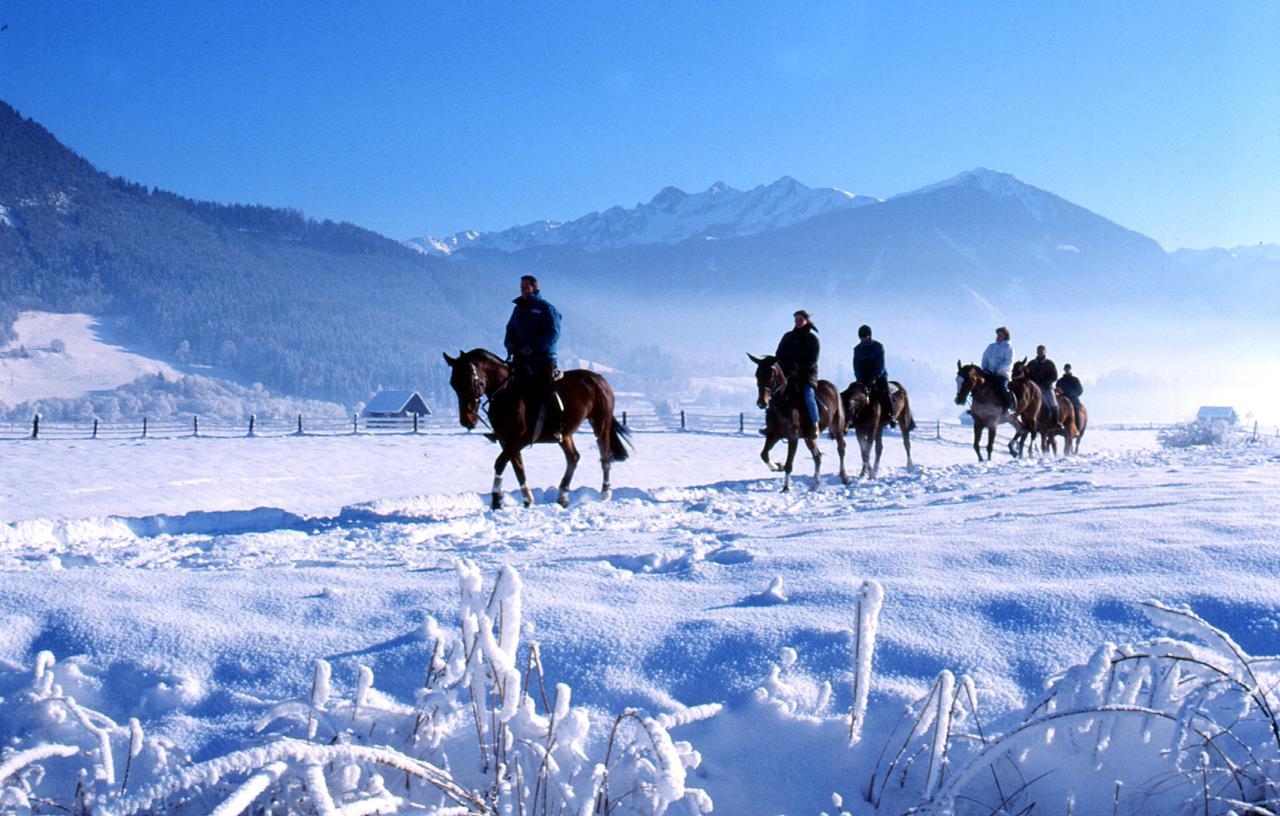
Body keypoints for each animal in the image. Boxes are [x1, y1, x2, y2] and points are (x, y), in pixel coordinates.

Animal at [445, 347, 634, 509]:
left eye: (471, 382)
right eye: (453, 384)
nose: (467, 420)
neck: (507, 393)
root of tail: (599, 379)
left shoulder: (520, 439)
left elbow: (500, 463)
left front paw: (496, 500)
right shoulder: (507, 441)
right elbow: (518, 468)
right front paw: (527, 499)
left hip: (600, 423)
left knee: (605, 455)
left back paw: (605, 493)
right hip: (565, 434)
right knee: (573, 458)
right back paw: (562, 496)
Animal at [747, 353, 849, 491]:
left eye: (771, 374)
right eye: (757, 374)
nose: (762, 402)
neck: (782, 404)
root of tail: (832, 387)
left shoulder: (793, 437)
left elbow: (789, 464)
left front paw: (785, 488)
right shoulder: (774, 435)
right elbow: (764, 454)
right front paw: (777, 466)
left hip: (837, 426)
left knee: (841, 448)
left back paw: (844, 477)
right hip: (809, 437)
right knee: (817, 456)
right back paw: (816, 483)